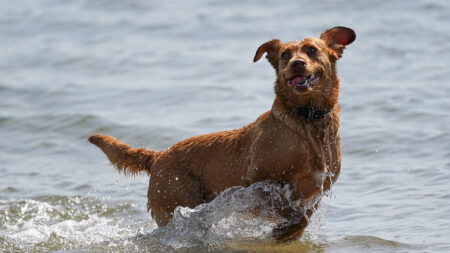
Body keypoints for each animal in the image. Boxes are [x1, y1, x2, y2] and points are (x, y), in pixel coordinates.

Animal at [88, 26, 356, 242]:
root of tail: (158, 156)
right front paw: (281, 230)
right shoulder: (258, 182)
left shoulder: (314, 195)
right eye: (285, 55)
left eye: (311, 50)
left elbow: (301, 218)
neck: (306, 121)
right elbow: (292, 213)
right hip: (176, 201)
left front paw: (285, 234)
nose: (296, 64)